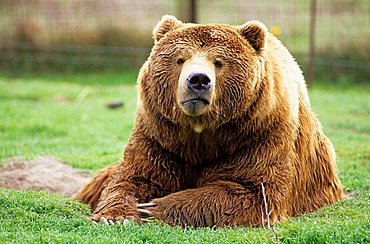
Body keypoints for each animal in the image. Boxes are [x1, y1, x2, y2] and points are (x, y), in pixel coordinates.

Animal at [75, 15, 344, 228]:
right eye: (180, 59)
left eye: (218, 62)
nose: (198, 80)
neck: (202, 133)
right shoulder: (159, 135)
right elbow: (134, 178)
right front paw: (116, 216)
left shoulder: (261, 135)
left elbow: (253, 191)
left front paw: (154, 207)